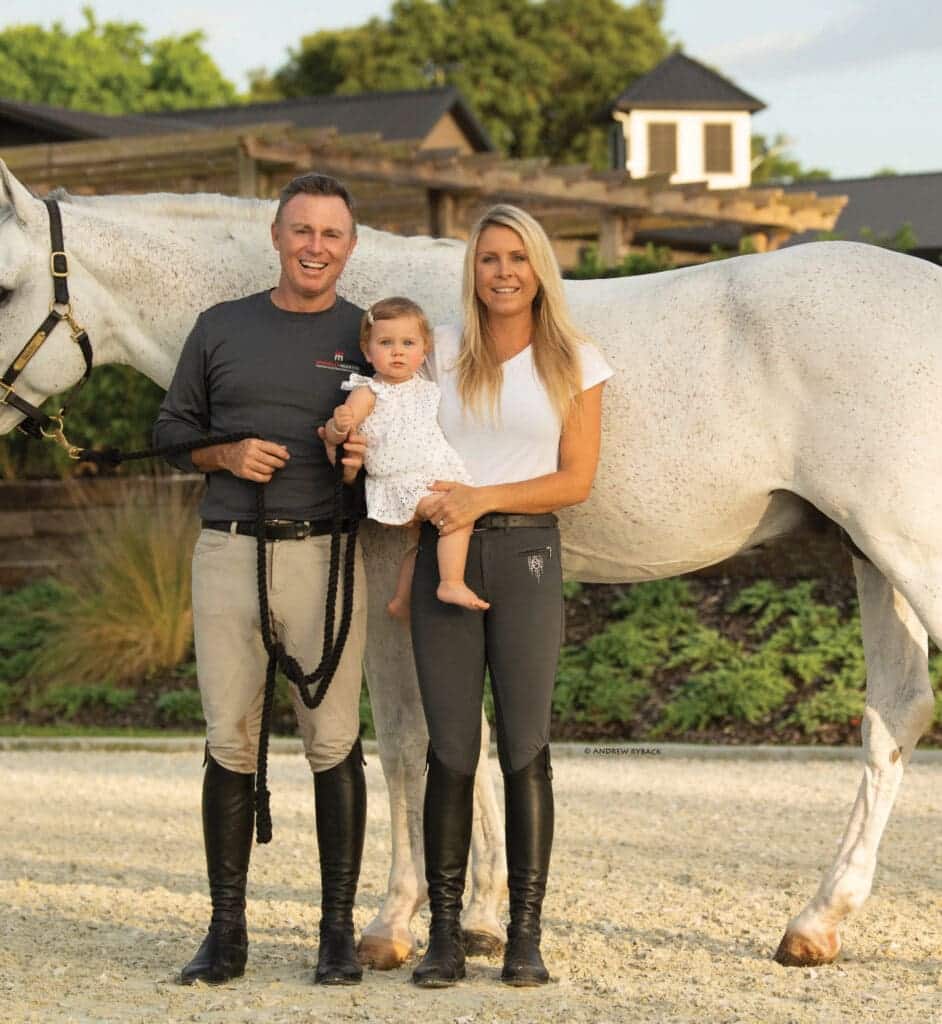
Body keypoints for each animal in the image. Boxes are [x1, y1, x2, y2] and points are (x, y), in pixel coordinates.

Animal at [1, 161, 942, 966]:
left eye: (7, 285)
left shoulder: (383, 567)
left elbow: (407, 740)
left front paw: (389, 926)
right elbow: (473, 733)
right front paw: (484, 918)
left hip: (905, 548)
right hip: (868, 553)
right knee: (895, 714)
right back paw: (816, 924)